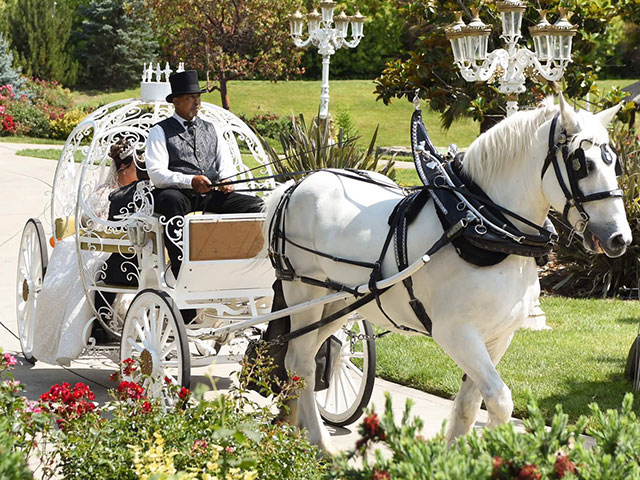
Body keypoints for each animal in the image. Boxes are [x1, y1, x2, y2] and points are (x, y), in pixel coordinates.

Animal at [260, 95, 632, 452]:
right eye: (582, 164)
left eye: (614, 162)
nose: (620, 238)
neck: (484, 225)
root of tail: (294, 186)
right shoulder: (455, 332)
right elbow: (500, 401)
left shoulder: (499, 336)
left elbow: (469, 404)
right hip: (305, 293)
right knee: (301, 363)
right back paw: (319, 442)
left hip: (338, 303)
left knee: (306, 359)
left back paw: (295, 429)